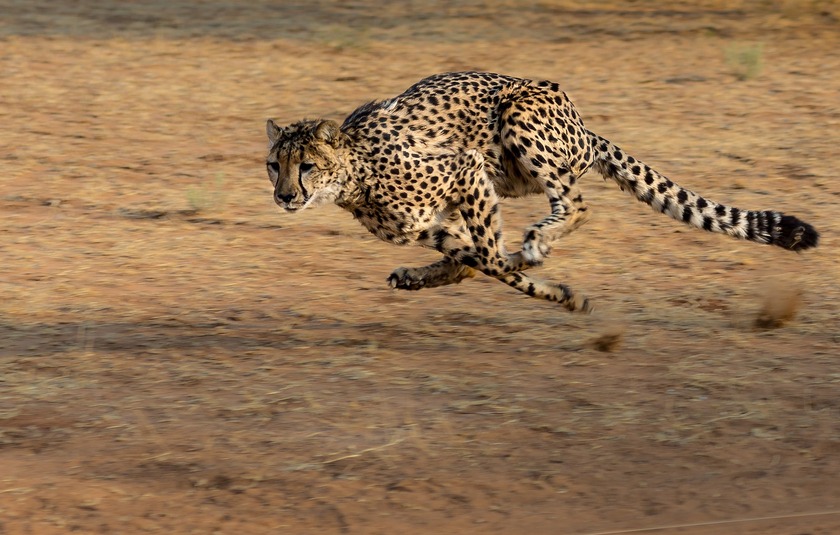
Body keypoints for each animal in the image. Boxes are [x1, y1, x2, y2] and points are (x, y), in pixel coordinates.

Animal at [268, 71, 820, 314]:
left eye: (307, 166)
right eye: (275, 165)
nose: (284, 197)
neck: (354, 174)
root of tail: (583, 124)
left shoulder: (466, 169)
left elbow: (491, 259)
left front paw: (556, 288)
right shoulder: (430, 224)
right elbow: (478, 260)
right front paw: (556, 290)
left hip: (518, 121)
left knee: (576, 204)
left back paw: (537, 242)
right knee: (477, 256)